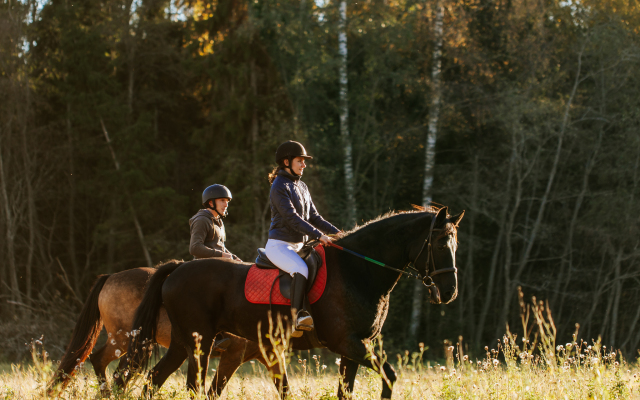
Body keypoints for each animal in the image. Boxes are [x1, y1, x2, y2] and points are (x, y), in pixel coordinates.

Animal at [51, 262, 286, 396]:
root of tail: (110, 276)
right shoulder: (233, 356)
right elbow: (214, 391)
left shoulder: (270, 355)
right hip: (123, 340)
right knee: (103, 362)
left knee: (110, 366)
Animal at [117, 208, 462, 398]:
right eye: (440, 244)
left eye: (455, 245)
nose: (450, 293)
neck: (356, 269)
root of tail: (178, 268)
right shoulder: (347, 343)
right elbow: (388, 376)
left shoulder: (354, 346)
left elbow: (346, 391)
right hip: (198, 344)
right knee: (190, 386)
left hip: (182, 343)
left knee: (153, 382)